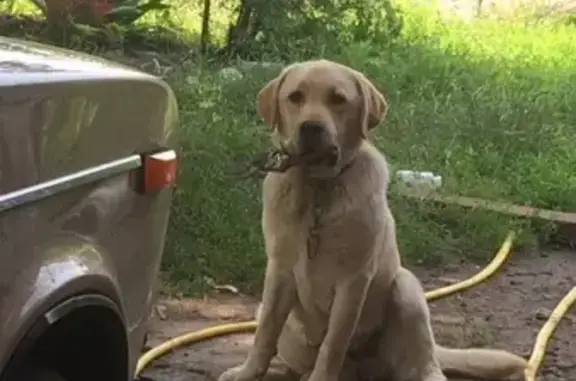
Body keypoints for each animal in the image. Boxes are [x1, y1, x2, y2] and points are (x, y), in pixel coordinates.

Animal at [219, 59, 528, 380]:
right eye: (295, 97)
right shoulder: (279, 271)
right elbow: (265, 333)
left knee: (425, 363)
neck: (320, 190)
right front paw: (247, 372)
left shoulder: (353, 281)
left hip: (406, 289)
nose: (311, 127)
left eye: (338, 99)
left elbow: (333, 344)